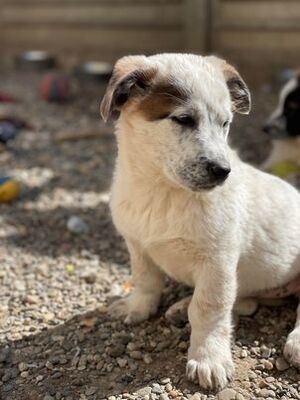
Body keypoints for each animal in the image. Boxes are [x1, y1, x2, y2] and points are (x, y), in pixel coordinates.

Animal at [100, 54, 300, 390]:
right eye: (183, 119)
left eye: (225, 123)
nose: (223, 171)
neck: (162, 191)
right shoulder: (138, 246)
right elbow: (146, 280)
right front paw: (138, 307)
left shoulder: (217, 262)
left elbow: (209, 309)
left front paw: (209, 359)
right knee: (246, 302)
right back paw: (182, 307)